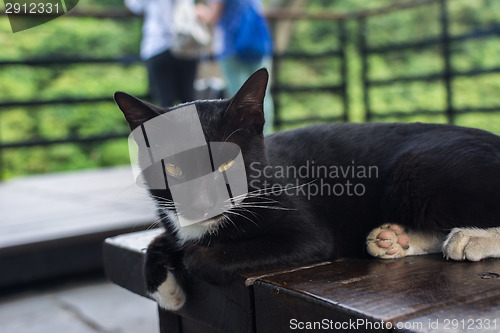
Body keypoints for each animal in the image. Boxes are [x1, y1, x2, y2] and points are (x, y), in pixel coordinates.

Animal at [114, 67, 500, 308]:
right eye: (173, 169)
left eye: (226, 165)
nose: (201, 205)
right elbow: (163, 239)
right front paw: (165, 288)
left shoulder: (308, 235)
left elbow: (199, 257)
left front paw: (186, 262)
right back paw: (394, 240)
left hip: (415, 171)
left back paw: (470, 238)